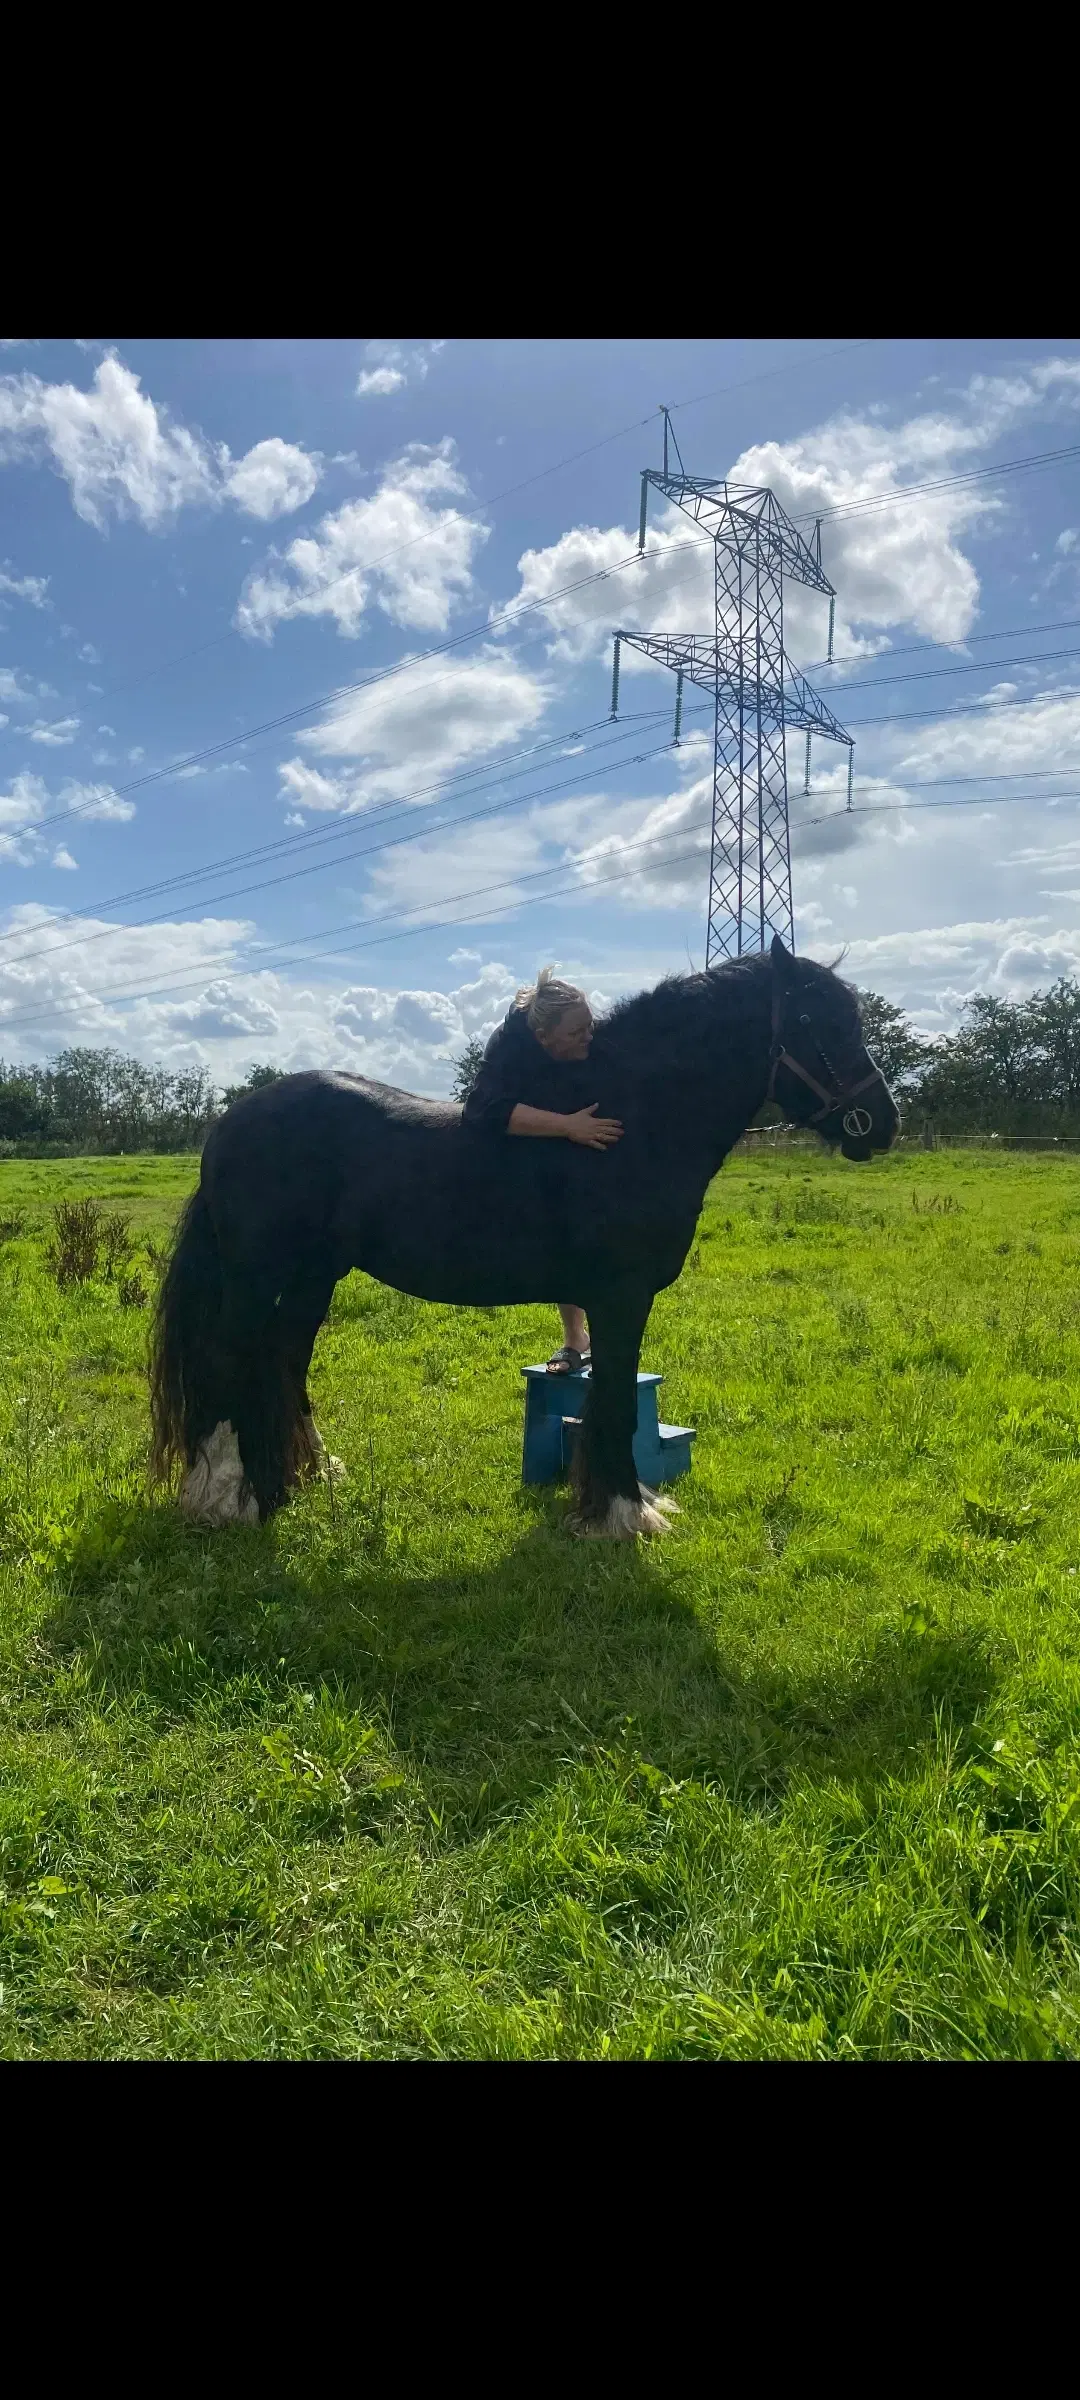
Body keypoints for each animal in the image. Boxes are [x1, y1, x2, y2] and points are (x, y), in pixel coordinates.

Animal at [150, 936, 892, 1536]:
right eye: (812, 1019)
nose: (881, 1122)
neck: (633, 1125)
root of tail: (234, 1120)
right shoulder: (622, 1298)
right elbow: (615, 1399)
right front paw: (624, 1513)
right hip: (256, 1276)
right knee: (227, 1359)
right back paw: (225, 1497)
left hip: (314, 1277)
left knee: (282, 1357)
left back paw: (301, 1475)